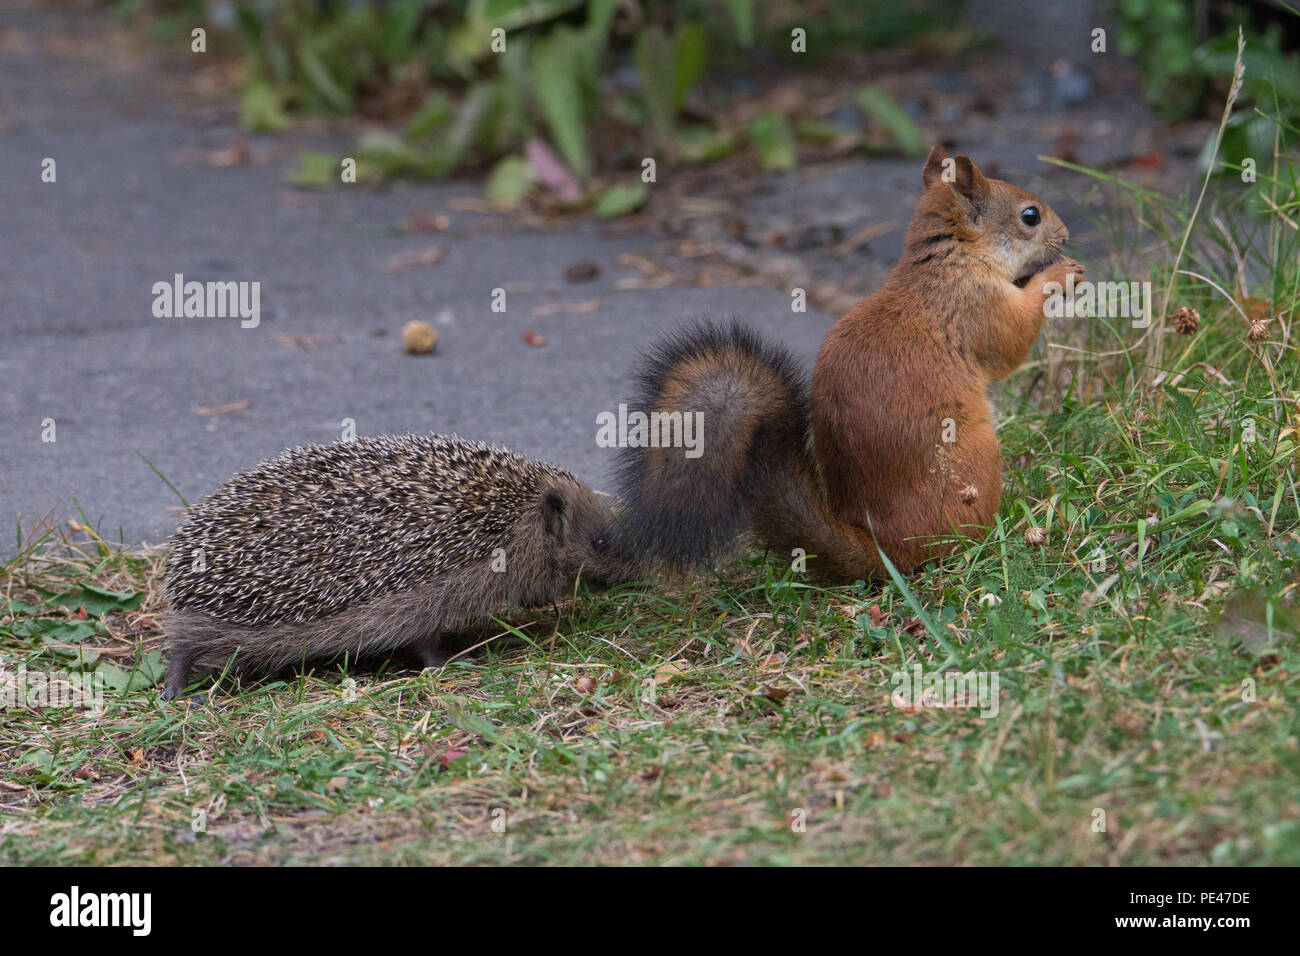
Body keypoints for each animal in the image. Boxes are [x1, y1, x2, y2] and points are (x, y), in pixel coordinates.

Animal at [613, 145, 1081, 580]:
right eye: (1030, 216)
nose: (1066, 234)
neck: (953, 259)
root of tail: (890, 550)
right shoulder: (975, 306)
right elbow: (1011, 342)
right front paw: (1058, 275)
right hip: (976, 462)